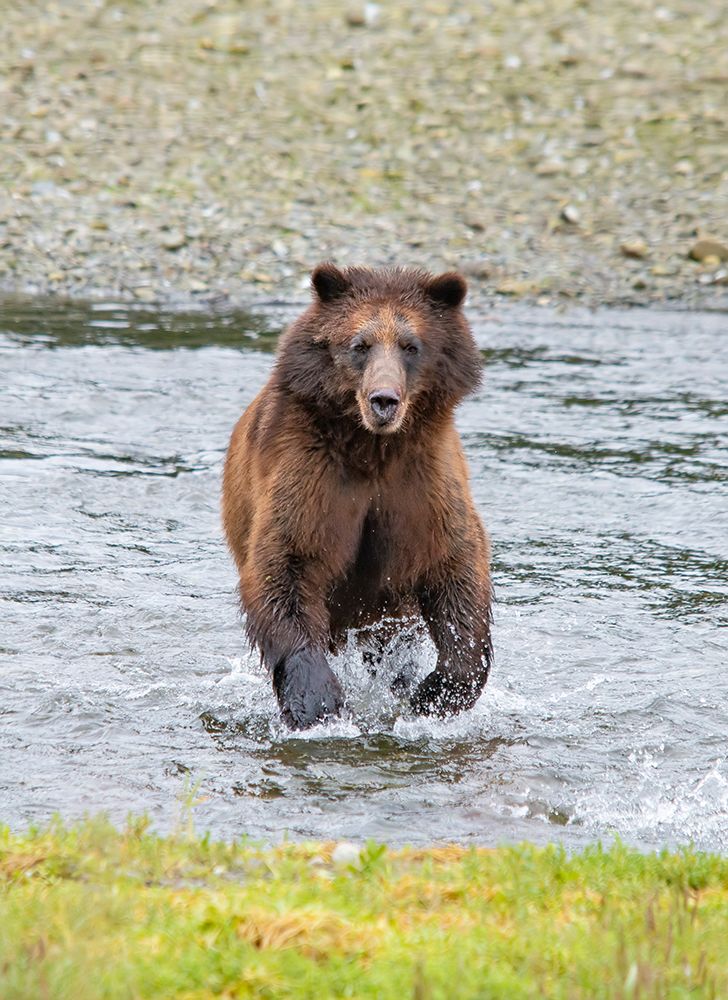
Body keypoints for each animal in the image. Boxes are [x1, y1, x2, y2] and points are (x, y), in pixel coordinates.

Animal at [222, 263, 493, 730]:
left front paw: (434, 694)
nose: (384, 400)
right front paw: (318, 701)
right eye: (359, 345)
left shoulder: (423, 485)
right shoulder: (310, 472)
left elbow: (456, 567)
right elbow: (287, 563)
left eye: (411, 345)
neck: (373, 449)